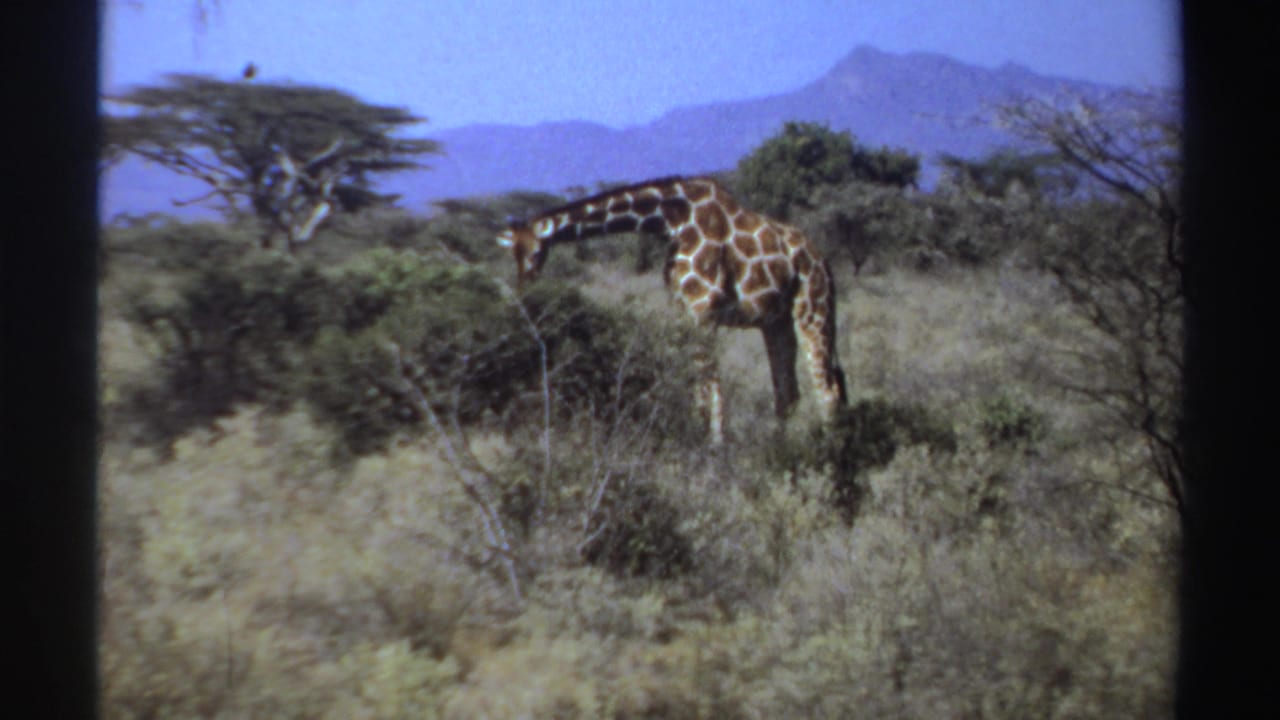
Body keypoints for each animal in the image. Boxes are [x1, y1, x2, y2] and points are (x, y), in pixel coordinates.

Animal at [496, 175, 847, 443]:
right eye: (513, 254)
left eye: (535, 251)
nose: (524, 288)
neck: (671, 220)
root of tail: (824, 262)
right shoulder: (684, 312)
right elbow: (699, 390)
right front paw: (700, 440)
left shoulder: (704, 311)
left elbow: (712, 390)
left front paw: (716, 450)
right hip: (777, 321)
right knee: (789, 393)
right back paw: (781, 448)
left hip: (813, 310)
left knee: (828, 389)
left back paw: (830, 456)